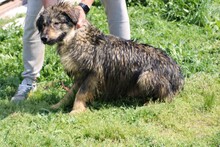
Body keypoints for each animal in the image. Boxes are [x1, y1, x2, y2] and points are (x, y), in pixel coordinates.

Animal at [36, 2, 184, 115]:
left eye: (56, 23)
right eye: (43, 25)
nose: (43, 38)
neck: (76, 38)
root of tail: (179, 74)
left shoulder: (94, 74)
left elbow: (81, 93)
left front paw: (76, 111)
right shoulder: (81, 75)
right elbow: (70, 93)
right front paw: (58, 105)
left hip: (145, 77)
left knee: (167, 98)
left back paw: (149, 103)